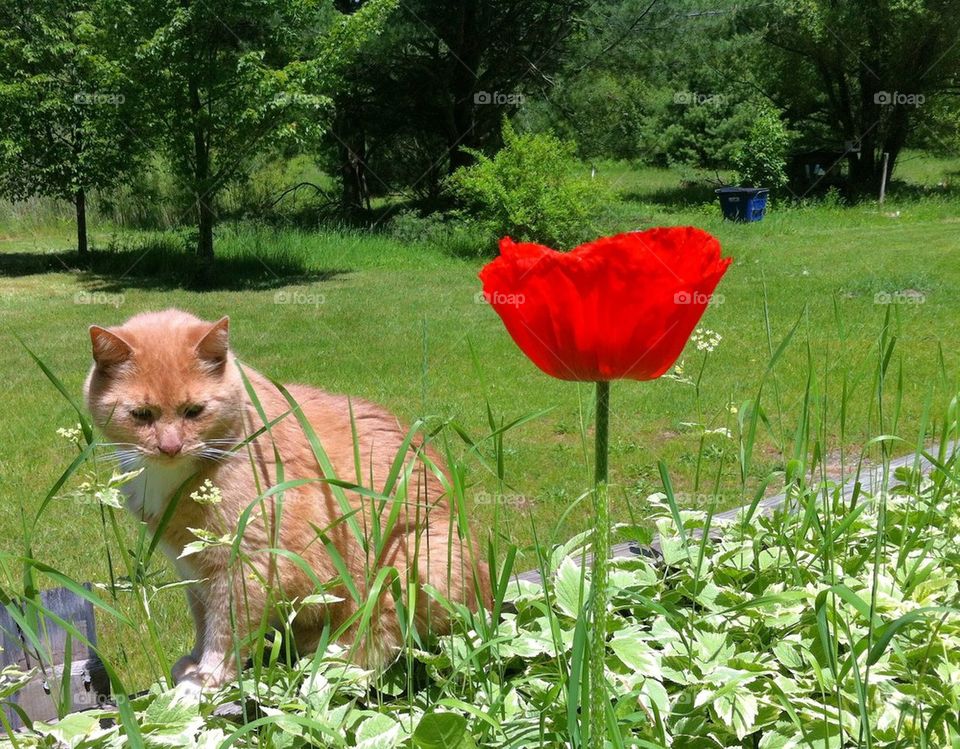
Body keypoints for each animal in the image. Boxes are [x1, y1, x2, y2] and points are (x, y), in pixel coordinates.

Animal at [84, 306, 488, 688]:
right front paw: (193, 664)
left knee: (381, 645)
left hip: (410, 563)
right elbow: (203, 620)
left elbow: (225, 630)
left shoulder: (246, 563)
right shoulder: (193, 570)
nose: (170, 447)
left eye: (194, 411)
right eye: (141, 415)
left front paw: (206, 679)